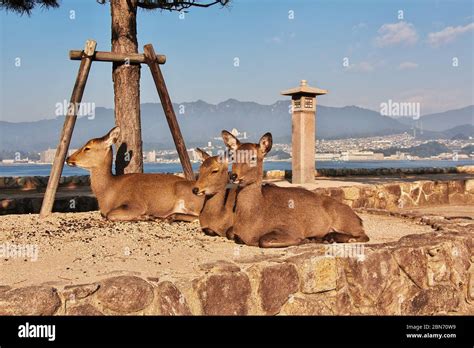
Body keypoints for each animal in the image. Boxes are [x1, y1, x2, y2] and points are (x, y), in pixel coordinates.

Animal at [65, 126, 204, 222]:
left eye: (87, 148)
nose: (68, 158)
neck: (107, 193)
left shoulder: (135, 204)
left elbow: (110, 214)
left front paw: (145, 216)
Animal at [222, 130, 370, 247]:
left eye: (253, 157)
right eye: (233, 156)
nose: (233, 175)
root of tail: (359, 219)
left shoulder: (290, 227)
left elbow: (264, 240)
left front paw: (305, 240)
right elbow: (229, 232)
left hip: (344, 219)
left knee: (364, 236)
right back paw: (328, 237)